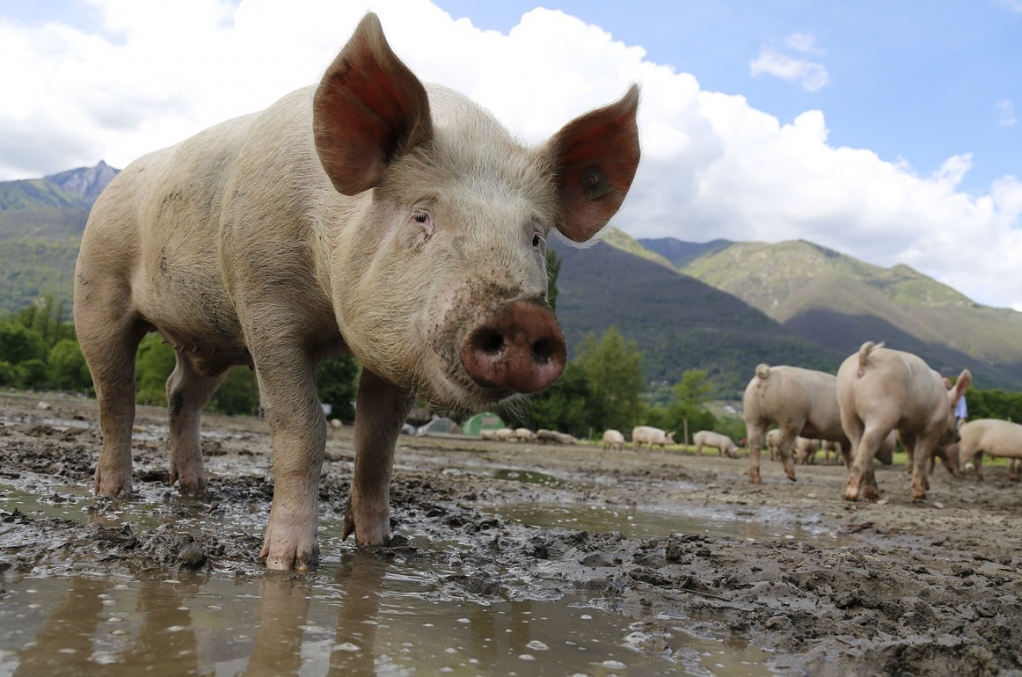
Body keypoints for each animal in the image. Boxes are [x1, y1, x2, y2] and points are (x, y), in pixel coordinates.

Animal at [74, 13, 637, 568]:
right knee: (116, 395)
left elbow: (378, 443)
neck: (332, 319)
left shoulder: (396, 345)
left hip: (207, 338)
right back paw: (112, 494)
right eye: (422, 216)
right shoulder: (265, 306)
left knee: (179, 394)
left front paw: (378, 548)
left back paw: (194, 488)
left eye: (535, 237)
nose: (524, 317)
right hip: (97, 286)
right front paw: (289, 562)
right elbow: (302, 427)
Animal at [833, 341, 968, 501]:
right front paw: (920, 495)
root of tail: (863, 360)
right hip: (881, 411)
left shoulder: (905, 430)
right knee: (867, 447)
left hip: (847, 411)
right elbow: (921, 456)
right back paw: (852, 495)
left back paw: (872, 494)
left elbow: (913, 454)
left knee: (858, 444)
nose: (959, 437)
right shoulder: (932, 426)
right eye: (956, 416)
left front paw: (926, 487)